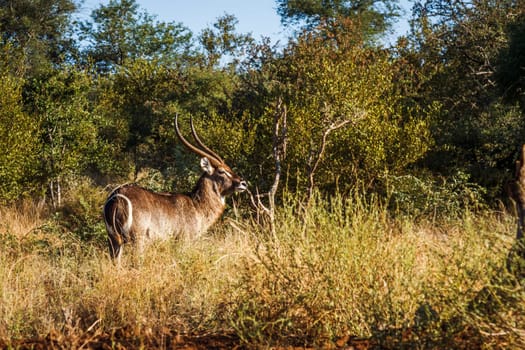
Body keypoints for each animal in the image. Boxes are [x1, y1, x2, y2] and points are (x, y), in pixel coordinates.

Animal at [105, 116, 250, 264]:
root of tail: (118, 196)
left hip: (114, 240)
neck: (197, 205)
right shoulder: (184, 240)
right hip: (137, 239)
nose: (243, 183)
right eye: (221, 171)